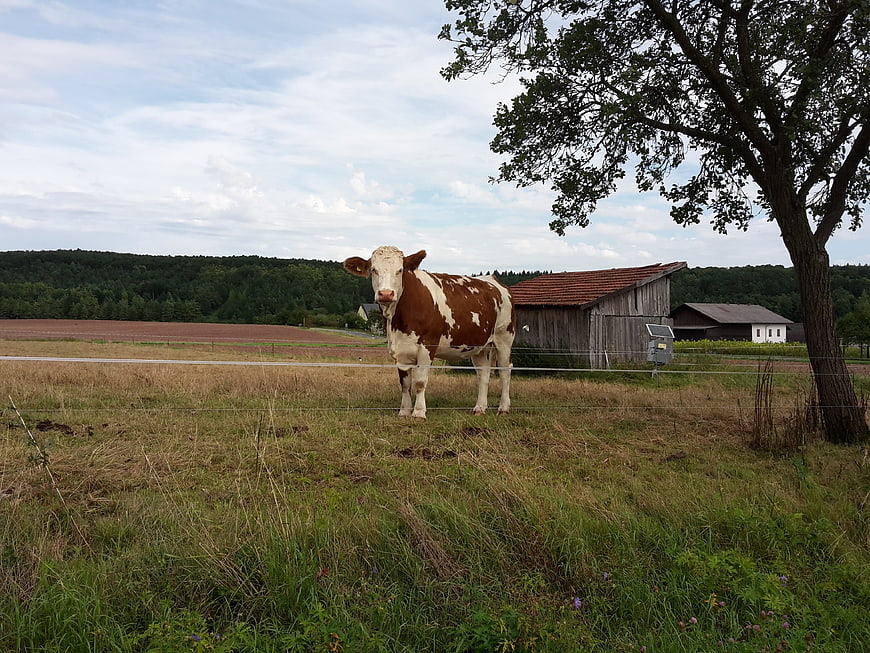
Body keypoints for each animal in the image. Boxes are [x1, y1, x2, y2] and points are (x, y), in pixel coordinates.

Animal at [343, 246, 514, 419]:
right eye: (374, 269)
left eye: (400, 270)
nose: (385, 293)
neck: (398, 321)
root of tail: (494, 280)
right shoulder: (400, 349)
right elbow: (405, 384)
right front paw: (404, 411)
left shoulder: (427, 345)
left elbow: (419, 382)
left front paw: (419, 412)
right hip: (479, 345)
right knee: (483, 373)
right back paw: (480, 408)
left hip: (504, 338)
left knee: (505, 371)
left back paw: (503, 408)